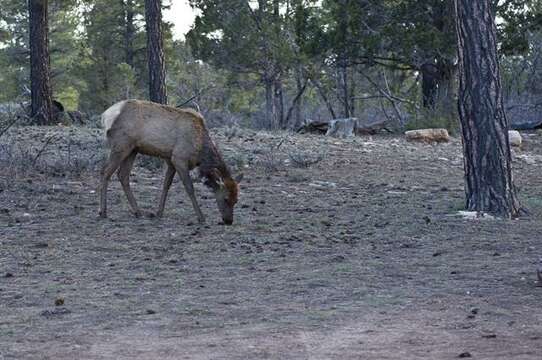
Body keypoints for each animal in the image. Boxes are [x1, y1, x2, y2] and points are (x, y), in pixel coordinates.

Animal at [99, 100, 243, 225]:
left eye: (236, 200)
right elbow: (189, 188)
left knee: (123, 175)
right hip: (121, 144)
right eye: (225, 198)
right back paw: (103, 212)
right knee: (105, 171)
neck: (200, 152)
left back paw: (138, 212)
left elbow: (166, 185)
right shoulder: (179, 158)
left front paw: (159, 212)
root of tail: (106, 115)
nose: (229, 221)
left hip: (133, 149)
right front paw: (201, 217)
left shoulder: (170, 160)